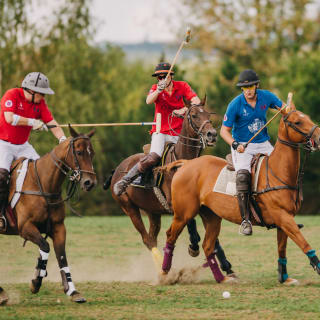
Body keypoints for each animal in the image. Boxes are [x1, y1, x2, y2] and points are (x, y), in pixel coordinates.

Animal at [0, 126, 96, 304]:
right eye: (79, 152)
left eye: (91, 152)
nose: (90, 183)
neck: (44, 185)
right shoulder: (25, 227)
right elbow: (45, 246)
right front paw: (36, 281)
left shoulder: (58, 227)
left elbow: (62, 256)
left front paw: (72, 291)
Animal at [106, 97, 234, 276]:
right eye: (194, 115)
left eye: (208, 114)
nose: (212, 135)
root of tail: (117, 170)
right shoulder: (177, 205)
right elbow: (191, 223)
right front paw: (193, 246)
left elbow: (213, 237)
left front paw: (227, 266)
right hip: (129, 208)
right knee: (146, 239)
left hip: (152, 212)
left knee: (152, 237)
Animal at [162, 104, 320, 284]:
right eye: (297, 122)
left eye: (308, 117)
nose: (318, 136)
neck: (278, 171)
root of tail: (186, 163)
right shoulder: (282, 216)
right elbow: (303, 243)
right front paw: (317, 267)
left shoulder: (285, 218)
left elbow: (282, 248)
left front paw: (284, 277)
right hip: (183, 213)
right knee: (170, 236)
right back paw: (164, 274)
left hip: (212, 216)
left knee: (208, 246)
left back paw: (222, 278)